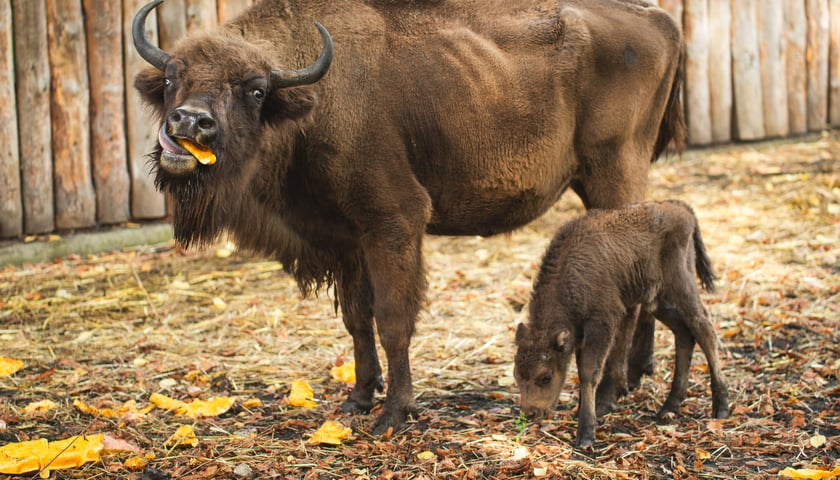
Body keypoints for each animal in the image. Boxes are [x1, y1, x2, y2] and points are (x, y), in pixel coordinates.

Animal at [131, 0, 684, 436]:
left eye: (255, 89)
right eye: (172, 76)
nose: (191, 122)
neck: (311, 100)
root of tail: (658, 19)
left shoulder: (392, 225)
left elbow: (393, 321)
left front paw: (394, 413)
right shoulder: (346, 240)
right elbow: (357, 320)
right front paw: (357, 398)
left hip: (613, 176)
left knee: (630, 294)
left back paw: (610, 393)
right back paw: (635, 377)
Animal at [512, 199, 728, 446]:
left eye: (546, 377)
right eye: (517, 375)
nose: (531, 413)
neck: (571, 269)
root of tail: (683, 209)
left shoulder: (602, 321)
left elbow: (589, 372)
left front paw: (586, 432)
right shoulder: (580, 334)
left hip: (681, 286)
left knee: (703, 328)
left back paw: (721, 407)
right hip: (656, 300)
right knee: (684, 333)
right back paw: (669, 407)